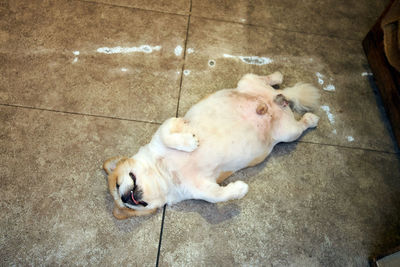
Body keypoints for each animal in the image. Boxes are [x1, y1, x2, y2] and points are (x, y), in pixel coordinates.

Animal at [102, 71, 318, 220]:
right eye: (127, 207)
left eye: (117, 185)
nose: (124, 198)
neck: (163, 172)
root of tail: (276, 98)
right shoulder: (200, 188)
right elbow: (217, 196)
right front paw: (239, 189)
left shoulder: (166, 125)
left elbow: (168, 135)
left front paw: (189, 141)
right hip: (287, 131)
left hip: (260, 98)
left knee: (267, 80)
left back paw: (287, 89)